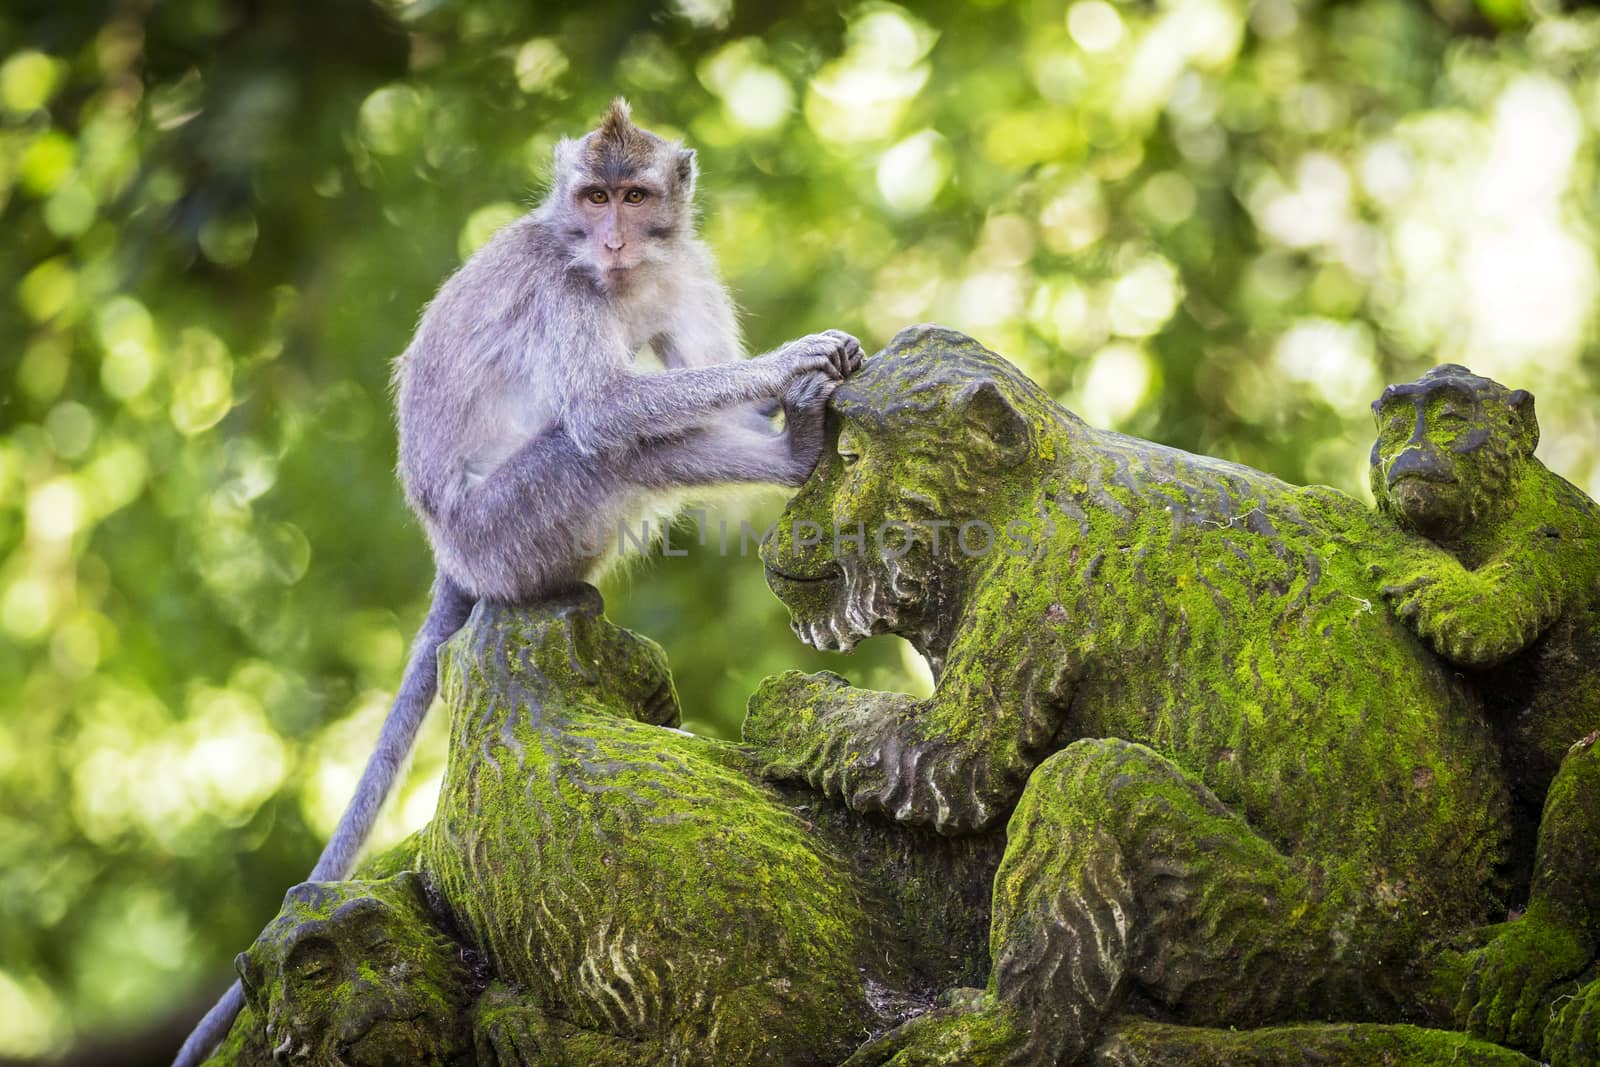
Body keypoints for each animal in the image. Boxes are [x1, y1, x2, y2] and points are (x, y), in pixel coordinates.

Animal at [175, 95, 864, 1062]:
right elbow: (606, 411)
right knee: (607, 447)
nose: (609, 239)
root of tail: (449, 553)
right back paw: (796, 453)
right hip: (512, 528)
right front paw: (792, 363)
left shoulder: (683, 269)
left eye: (633, 196)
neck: (617, 278)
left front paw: (786, 388)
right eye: (592, 197)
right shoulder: (561, 291)